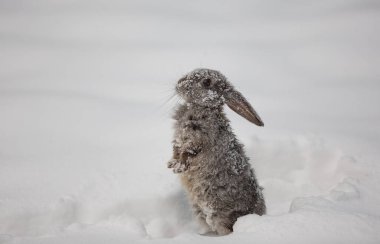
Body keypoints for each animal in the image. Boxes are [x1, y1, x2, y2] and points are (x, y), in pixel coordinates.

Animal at [168, 68, 266, 234]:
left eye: (206, 82)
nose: (179, 83)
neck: (201, 107)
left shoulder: (199, 139)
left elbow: (189, 152)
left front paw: (179, 167)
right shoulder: (179, 139)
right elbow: (176, 149)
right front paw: (171, 164)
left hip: (217, 214)